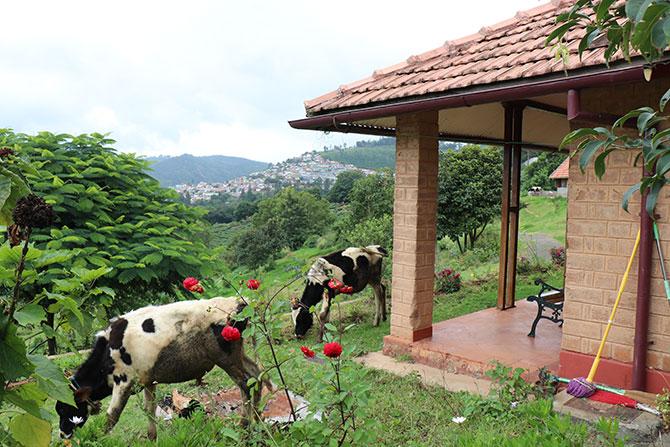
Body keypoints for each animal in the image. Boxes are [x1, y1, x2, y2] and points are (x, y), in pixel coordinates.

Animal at [55, 298, 266, 440]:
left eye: (65, 408)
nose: (63, 434)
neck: (107, 351)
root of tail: (238, 302)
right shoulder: (149, 381)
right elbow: (149, 410)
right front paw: (152, 438)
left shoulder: (123, 382)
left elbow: (111, 418)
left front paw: (98, 439)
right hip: (238, 355)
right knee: (258, 375)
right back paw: (258, 423)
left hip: (226, 359)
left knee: (245, 384)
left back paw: (245, 428)